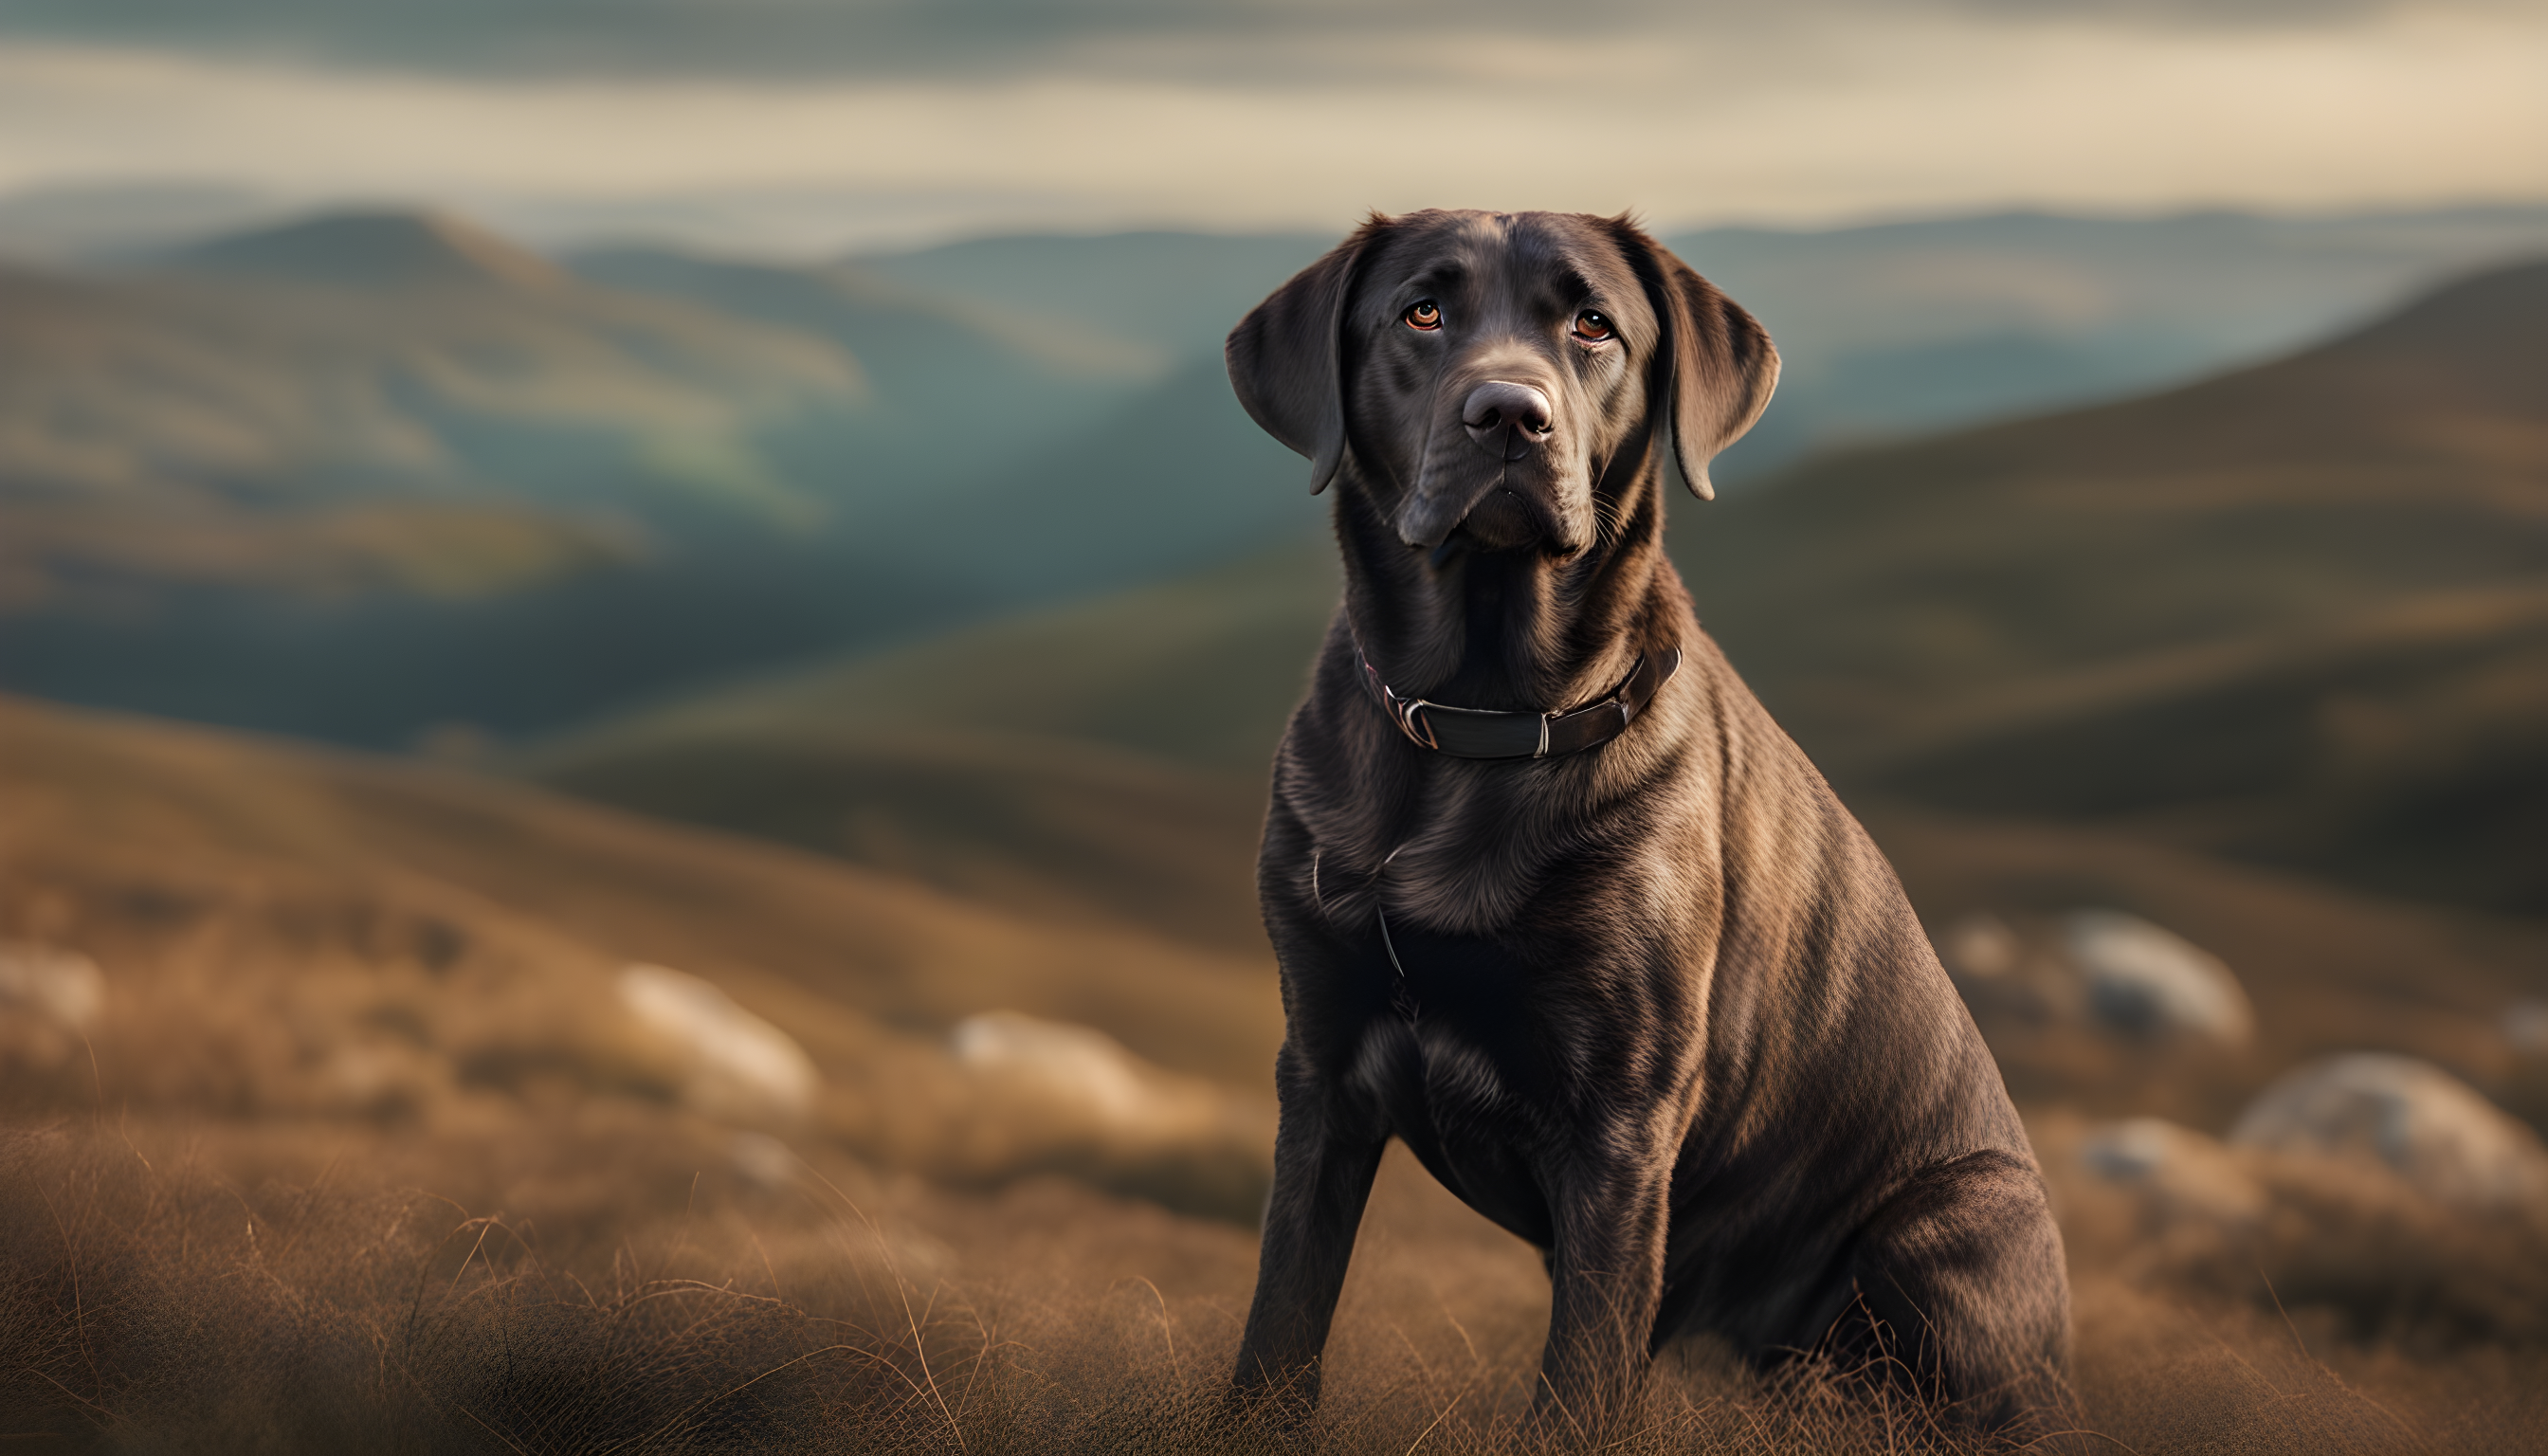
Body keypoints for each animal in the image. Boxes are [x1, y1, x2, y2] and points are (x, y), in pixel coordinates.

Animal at [1212, 208, 2068, 1447]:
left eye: (1593, 325)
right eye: (1422, 311)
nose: (1509, 414)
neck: (1481, 722)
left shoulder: (1621, 1123)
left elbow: (1577, 1382)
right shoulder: (1320, 1068)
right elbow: (1282, 1319)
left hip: (1950, 1222)